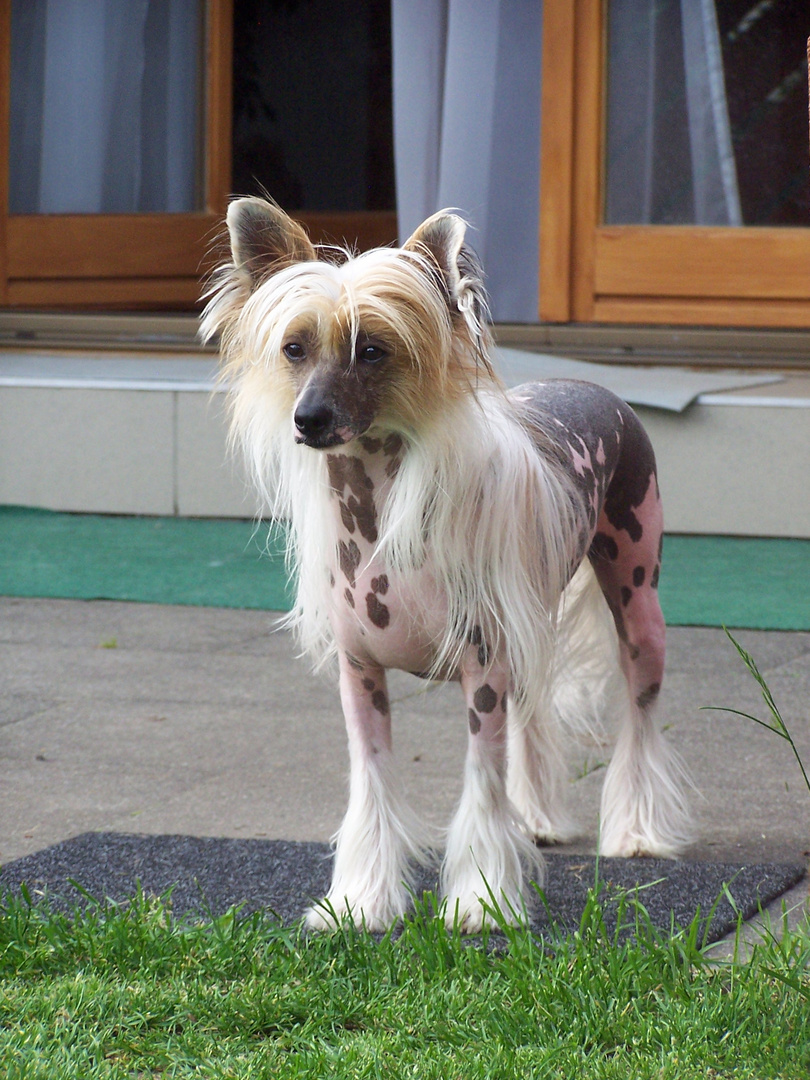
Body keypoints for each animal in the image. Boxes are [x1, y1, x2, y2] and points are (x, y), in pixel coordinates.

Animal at [203, 200, 691, 928]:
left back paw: (636, 830)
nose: (308, 418)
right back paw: (538, 819)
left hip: (638, 603)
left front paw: (483, 902)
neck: (375, 525)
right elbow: (372, 784)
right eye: (294, 348)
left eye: (372, 349)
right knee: (534, 712)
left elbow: (482, 785)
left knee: (640, 716)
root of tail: (585, 381)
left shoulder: (481, 671)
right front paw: (361, 901)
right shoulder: (360, 675)